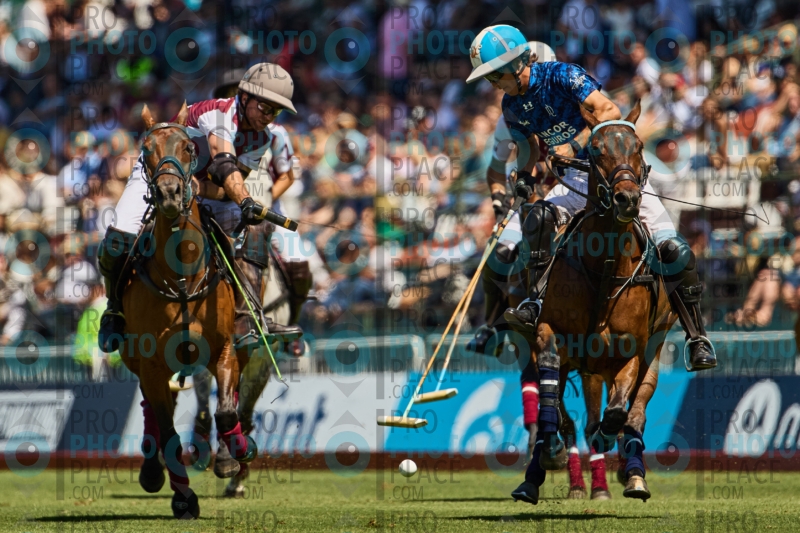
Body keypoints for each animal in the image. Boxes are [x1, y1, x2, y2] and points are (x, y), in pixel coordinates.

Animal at [118, 103, 256, 519]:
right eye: (146, 150)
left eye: (188, 148)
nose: (168, 193)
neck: (181, 275)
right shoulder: (150, 360)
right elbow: (167, 431)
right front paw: (183, 498)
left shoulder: (224, 348)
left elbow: (226, 411)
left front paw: (237, 454)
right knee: (151, 408)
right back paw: (152, 471)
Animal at [514, 100, 677, 503]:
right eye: (596, 151)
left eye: (638, 147)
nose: (627, 199)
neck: (605, 268)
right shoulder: (546, 333)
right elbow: (552, 402)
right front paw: (547, 457)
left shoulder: (630, 350)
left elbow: (617, 413)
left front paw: (611, 445)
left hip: (655, 344)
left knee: (636, 410)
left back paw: (633, 476)